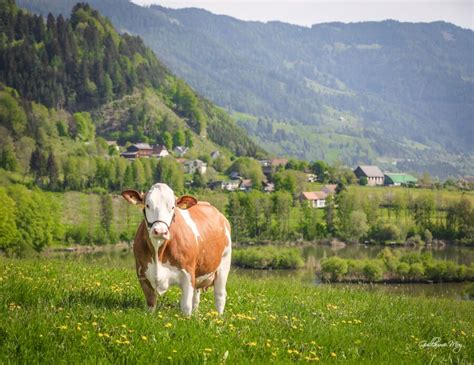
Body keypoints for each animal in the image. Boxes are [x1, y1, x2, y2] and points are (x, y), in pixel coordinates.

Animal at [121, 183, 232, 314]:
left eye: (173, 207)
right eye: (147, 205)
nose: (160, 231)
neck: (158, 252)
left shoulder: (188, 275)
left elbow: (186, 307)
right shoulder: (142, 274)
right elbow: (151, 304)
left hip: (224, 264)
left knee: (220, 296)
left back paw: (219, 317)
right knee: (196, 298)